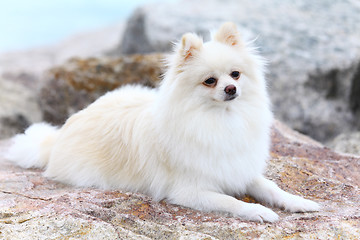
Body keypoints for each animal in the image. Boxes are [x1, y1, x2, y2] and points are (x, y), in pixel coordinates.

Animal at [7, 22, 320, 221]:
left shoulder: (238, 168)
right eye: (210, 81)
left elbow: (271, 188)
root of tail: (58, 136)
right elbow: (229, 200)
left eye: (236, 74)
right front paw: (259, 211)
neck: (219, 119)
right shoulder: (189, 190)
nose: (231, 89)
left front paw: (299, 202)